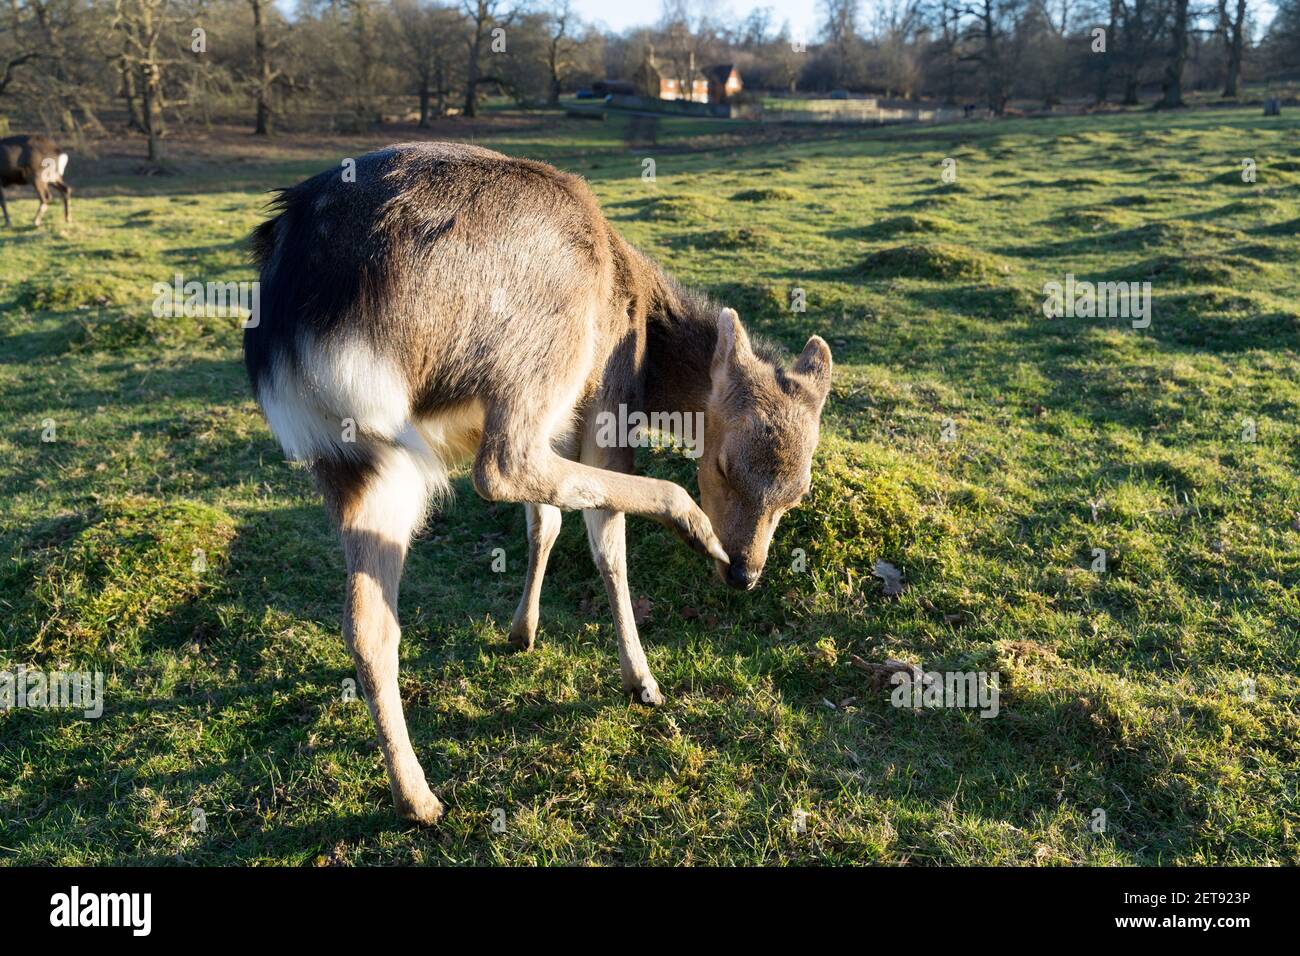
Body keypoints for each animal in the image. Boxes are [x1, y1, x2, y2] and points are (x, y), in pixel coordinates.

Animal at [244, 142, 832, 824]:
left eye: (799, 492)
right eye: (723, 466)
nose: (744, 572)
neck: (649, 346)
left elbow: (543, 521)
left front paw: (521, 631)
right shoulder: (609, 402)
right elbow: (606, 544)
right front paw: (642, 680)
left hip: (356, 460)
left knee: (367, 626)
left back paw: (417, 797)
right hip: (538, 355)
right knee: (500, 468)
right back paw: (688, 523)